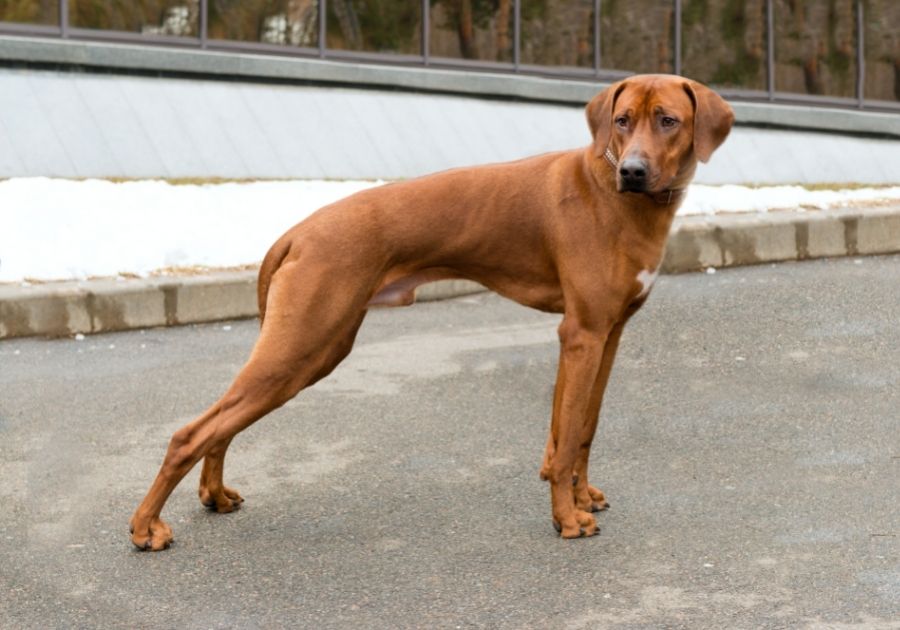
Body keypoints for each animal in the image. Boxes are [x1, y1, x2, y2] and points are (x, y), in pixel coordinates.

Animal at [128, 74, 732, 552]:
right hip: (303, 347)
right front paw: (567, 519)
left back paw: (213, 495)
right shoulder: (581, 333)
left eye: (668, 120)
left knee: (221, 424)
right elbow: (565, 443)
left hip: (312, 348)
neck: (613, 194)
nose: (633, 170)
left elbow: (579, 428)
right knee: (191, 432)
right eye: (622, 121)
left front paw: (582, 497)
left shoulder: (607, 334)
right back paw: (145, 527)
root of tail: (298, 231)